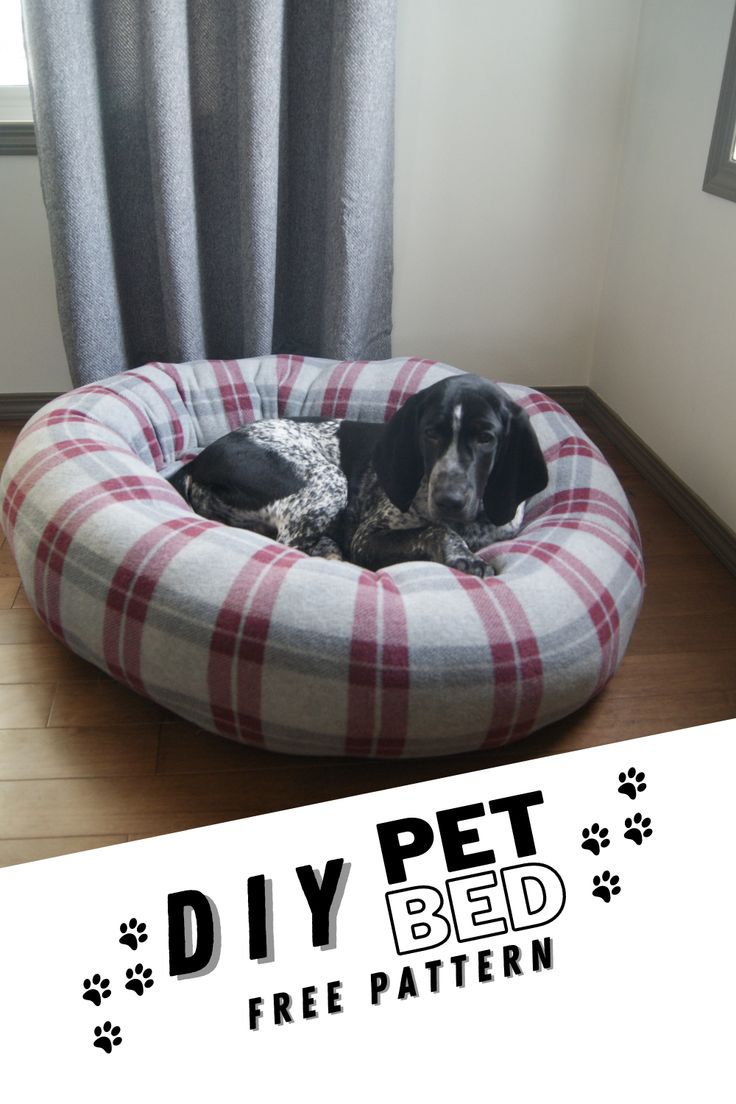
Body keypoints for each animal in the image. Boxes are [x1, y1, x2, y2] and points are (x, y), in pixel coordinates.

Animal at [166, 373, 547, 578]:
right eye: (430, 433)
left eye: (486, 438)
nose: (448, 500)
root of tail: (198, 461)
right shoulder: (367, 537)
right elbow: (437, 530)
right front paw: (464, 556)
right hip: (327, 480)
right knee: (288, 544)